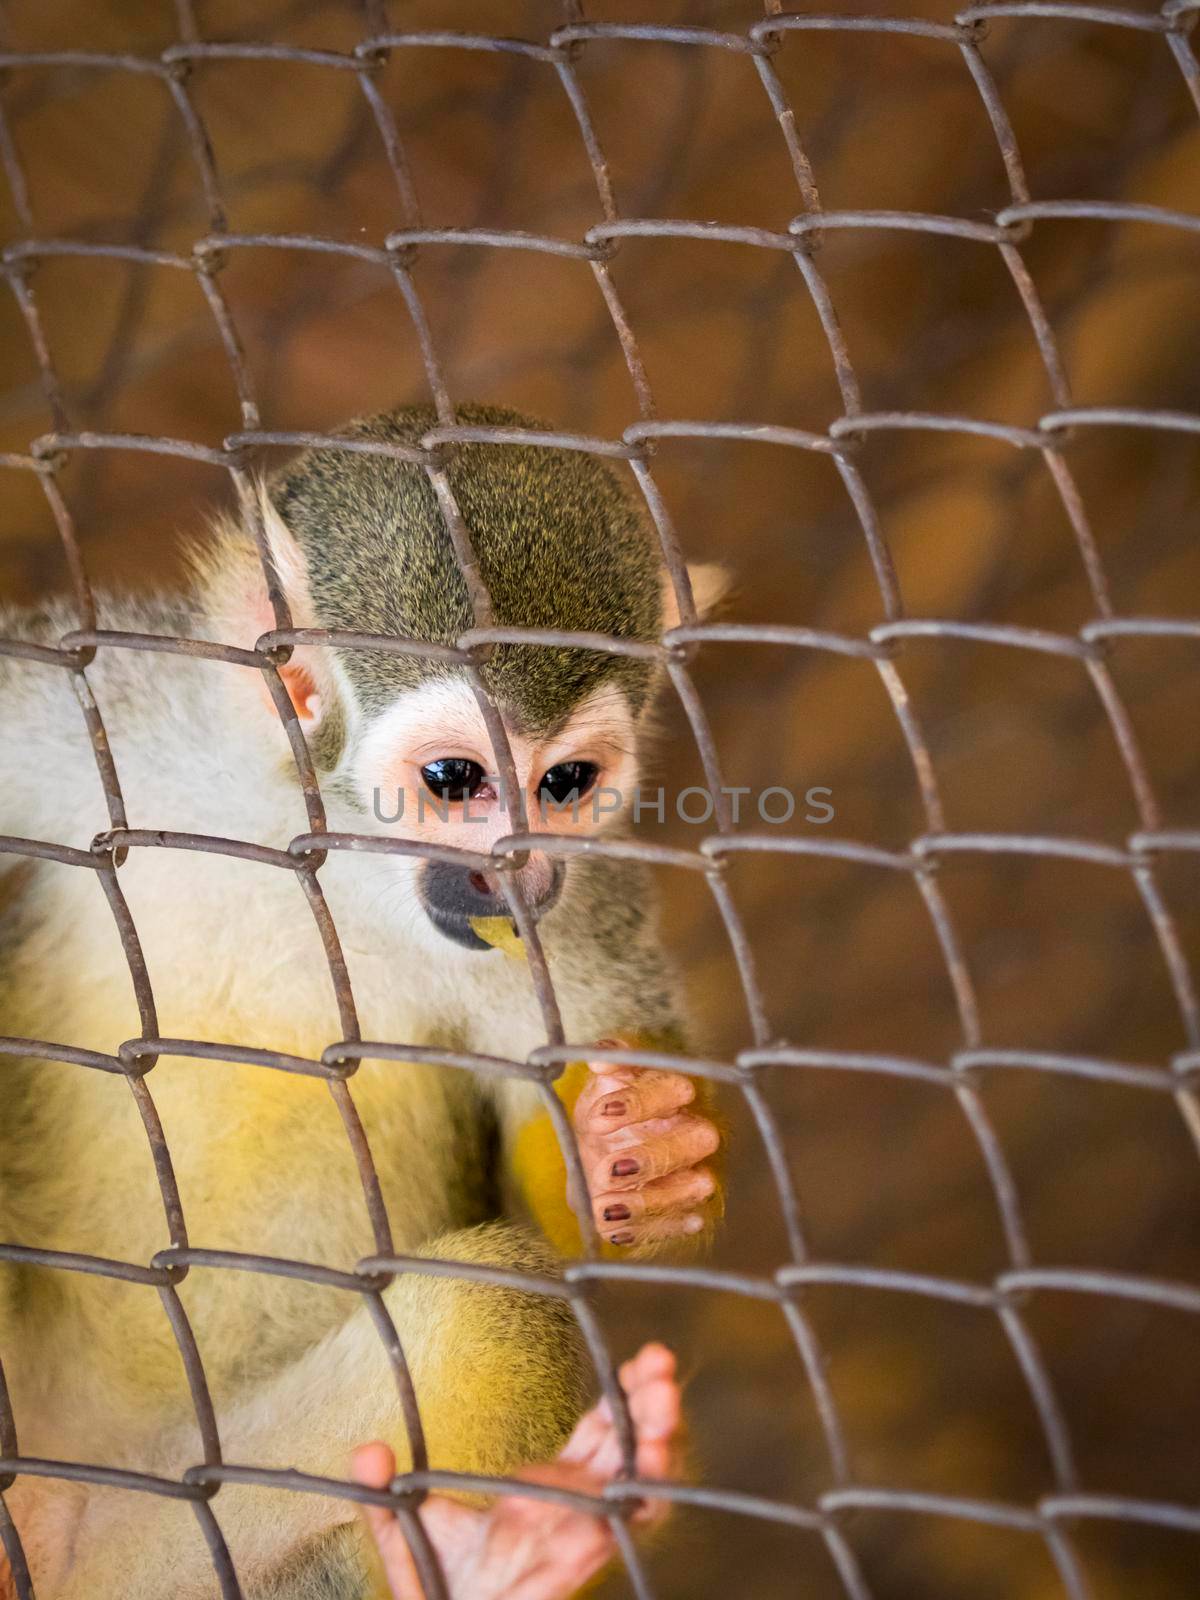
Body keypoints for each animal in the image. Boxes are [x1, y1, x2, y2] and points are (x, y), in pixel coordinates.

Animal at [0, 409, 723, 1600]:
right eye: (454, 779)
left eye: (567, 785)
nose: (517, 879)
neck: (314, 851)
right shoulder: (108, 718)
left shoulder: (581, 903)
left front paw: (643, 1159)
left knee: (489, 1315)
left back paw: (506, 1557)